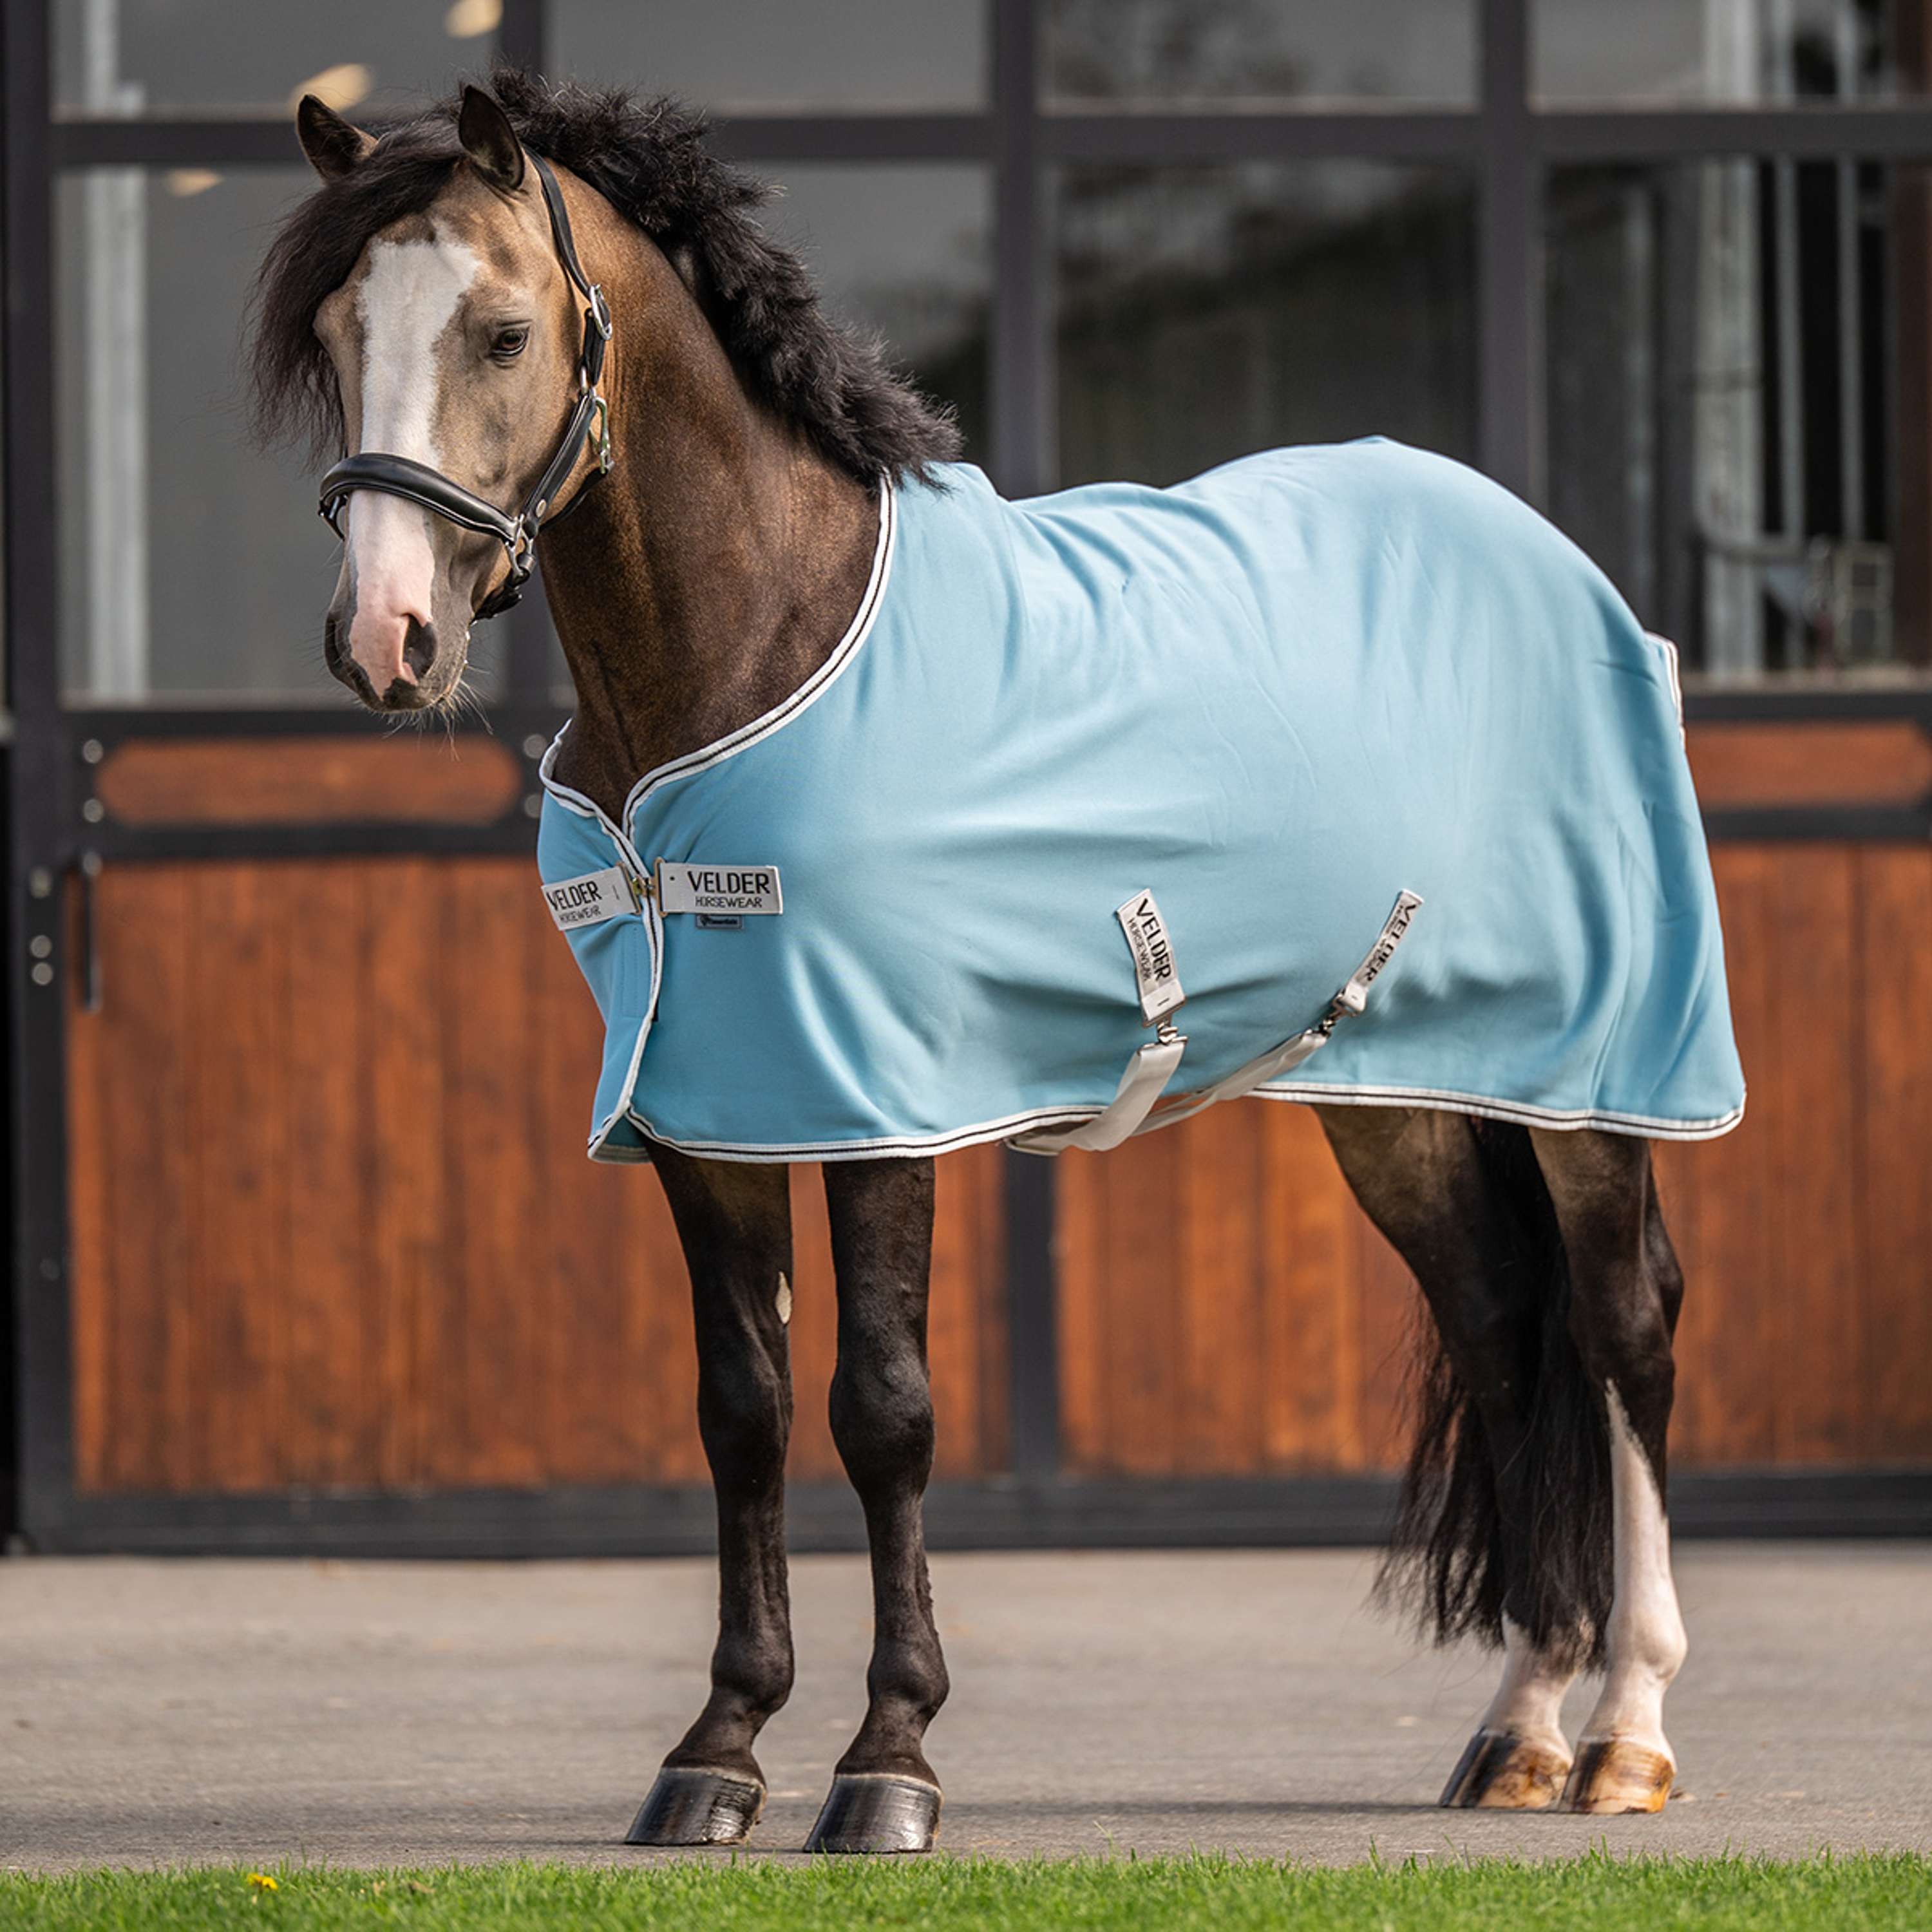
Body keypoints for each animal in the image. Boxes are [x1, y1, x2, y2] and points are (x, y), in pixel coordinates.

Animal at [251, 73, 1742, 1853]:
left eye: (500, 330)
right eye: (335, 331)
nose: (384, 639)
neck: (760, 632)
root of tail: (1551, 563)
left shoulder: (878, 1103)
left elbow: (882, 1410)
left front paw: (887, 1761)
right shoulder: (708, 1116)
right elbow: (742, 1411)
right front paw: (717, 1751)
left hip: (1598, 1074)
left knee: (1625, 1326)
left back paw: (1629, 1731)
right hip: (1402, 1099)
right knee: (1504, 1323)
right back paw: (1518, 1727)